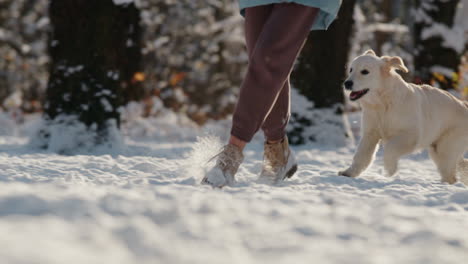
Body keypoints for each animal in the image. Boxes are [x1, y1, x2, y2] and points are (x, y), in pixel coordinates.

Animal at [340, 49, 468, 184]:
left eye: (365, 71)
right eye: (351, 70)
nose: (347, 83)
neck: (382, 103)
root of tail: (464, 105)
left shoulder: (410, 135)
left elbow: (390, 149)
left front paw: (390, 169)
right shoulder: (370, 133)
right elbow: (361, 155)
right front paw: (348, 173)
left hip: (446, 146)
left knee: (451, 174)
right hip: (439, 149)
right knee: (458, 166)